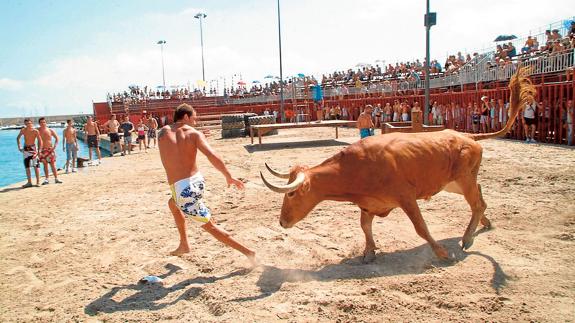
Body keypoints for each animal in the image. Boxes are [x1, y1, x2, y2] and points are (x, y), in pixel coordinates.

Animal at [264, 67, 536, 264]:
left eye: (291, 194)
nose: (282, 222)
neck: (353, 169)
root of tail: (467, 136)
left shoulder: (406, 198)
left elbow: (420, 227)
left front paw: (441, 253)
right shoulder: (368, 204)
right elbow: (365, 227)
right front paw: (369, 252)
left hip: (464, 179)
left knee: (476, 203)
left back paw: (467, 239)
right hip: (455, 183)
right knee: (480, 200)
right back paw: (484, 225)